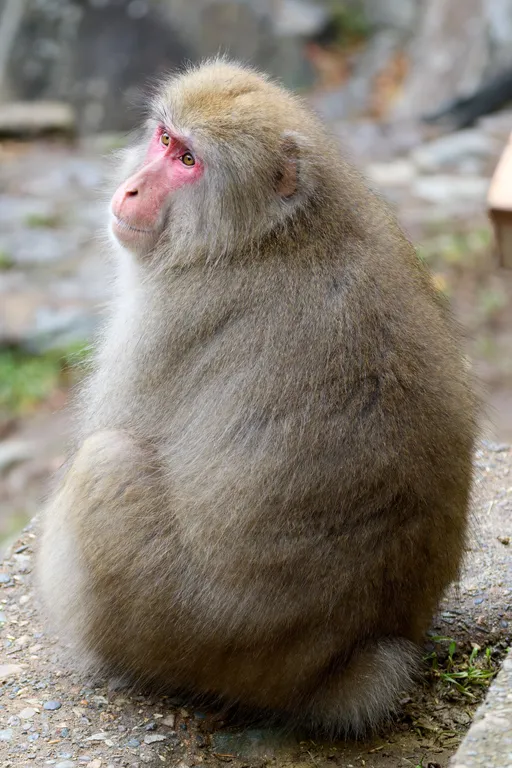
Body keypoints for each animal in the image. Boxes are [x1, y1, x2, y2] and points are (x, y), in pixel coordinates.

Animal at [37, 59, 477, 738]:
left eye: (188, 160)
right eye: (164, 139)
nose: (132, 190)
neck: (271, 233)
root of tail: (342, 666)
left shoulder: (168, 313)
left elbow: (112, 426)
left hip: (180, 626)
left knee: (106, 461)